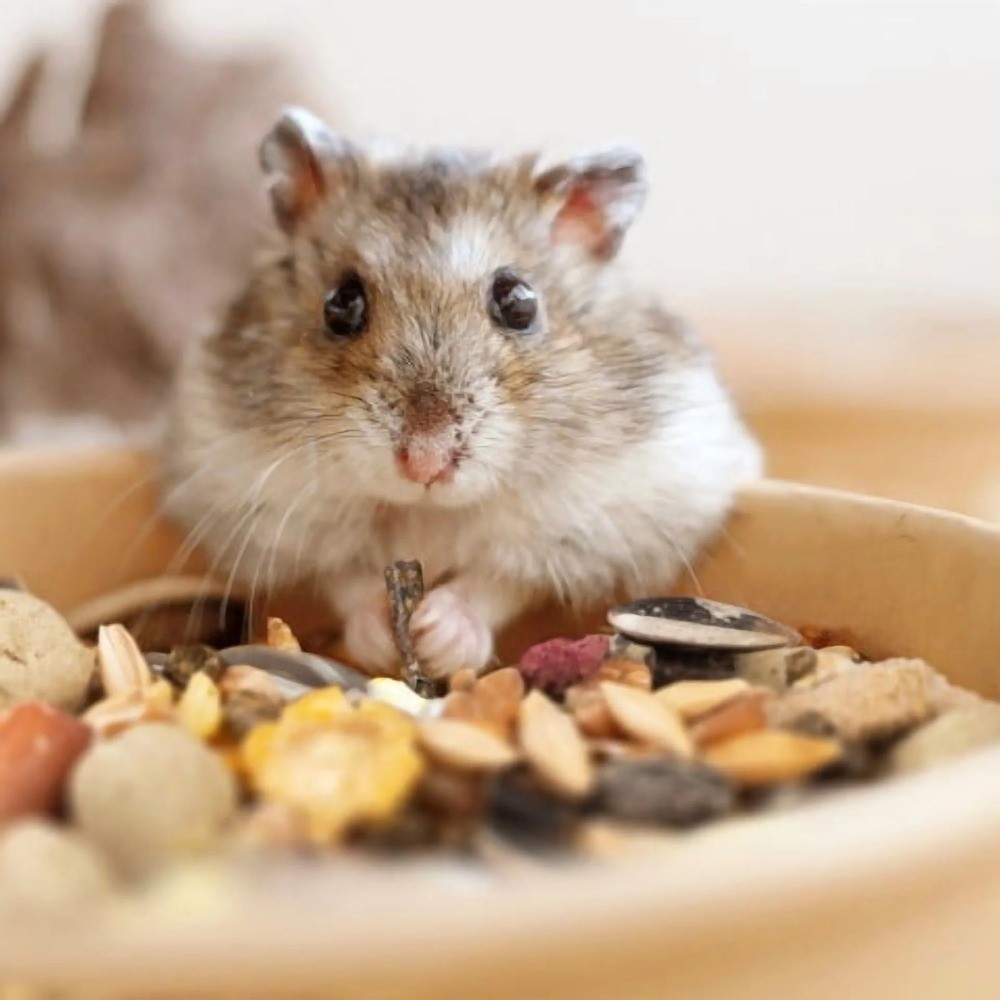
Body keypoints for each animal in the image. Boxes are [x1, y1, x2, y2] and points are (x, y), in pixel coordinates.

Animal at [162, 107, 763, 678]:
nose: (424, 463)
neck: (429, 512)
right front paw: (386, 636)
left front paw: (434, 634)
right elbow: (347, 577)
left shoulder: (604, 515)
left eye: (519, 302)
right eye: (340, 303)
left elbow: (498, 580)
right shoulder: (258, 504)